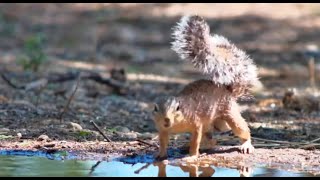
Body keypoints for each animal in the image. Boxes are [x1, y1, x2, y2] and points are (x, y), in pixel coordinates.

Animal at [152, 14, 260, 160]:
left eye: (178, 108)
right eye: (155, 108)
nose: (167, 120)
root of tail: (227, 90)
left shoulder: (196, 123)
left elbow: (195, 140)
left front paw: (192, 156)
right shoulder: (162, 130)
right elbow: (163, 142)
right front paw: (160, 156)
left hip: (229, 114)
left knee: (242, 130)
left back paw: (246, 145)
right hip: (210, 125)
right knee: (211, 141)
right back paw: (188, 146)